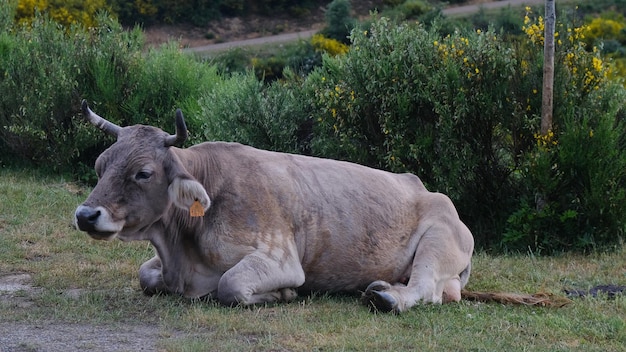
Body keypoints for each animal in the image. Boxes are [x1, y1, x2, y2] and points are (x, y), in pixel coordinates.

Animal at [73, 100, 472, 312]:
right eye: (100, 165)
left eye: (143, 172)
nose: (86, 215)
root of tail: (423, 187)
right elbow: (145, 275)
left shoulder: (280, 258)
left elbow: (231, 285)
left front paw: (283, 293)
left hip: (438, 241)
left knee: (425, 289)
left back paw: (388, 296)